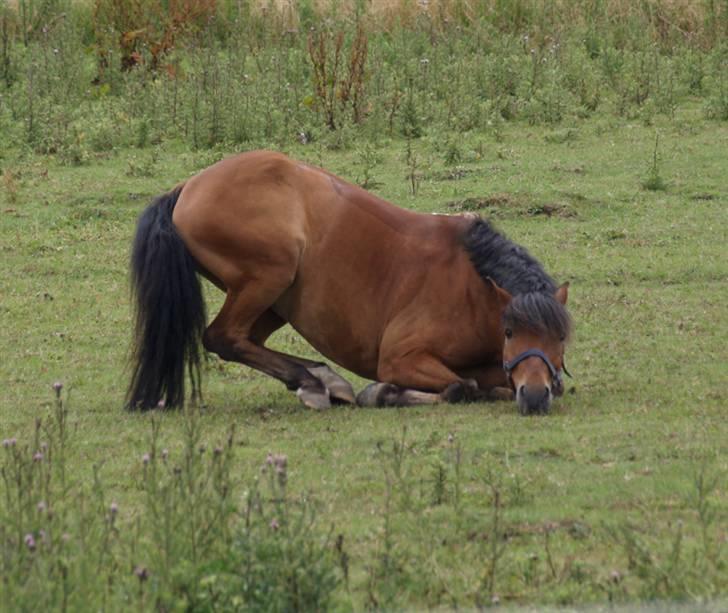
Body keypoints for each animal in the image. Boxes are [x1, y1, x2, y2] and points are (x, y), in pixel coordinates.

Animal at [128, 150, 572, 414]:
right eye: (510, 331)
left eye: (562, 337)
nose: (535, 396)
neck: (470, 288)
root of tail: (186, 187)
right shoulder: (400, 358)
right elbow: (462, 385)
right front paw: (384, 393)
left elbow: (485, 382)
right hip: (269, 277)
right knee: (222, 337)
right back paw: (317, 381)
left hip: (275, 298)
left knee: (242, 340)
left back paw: (319, 381)